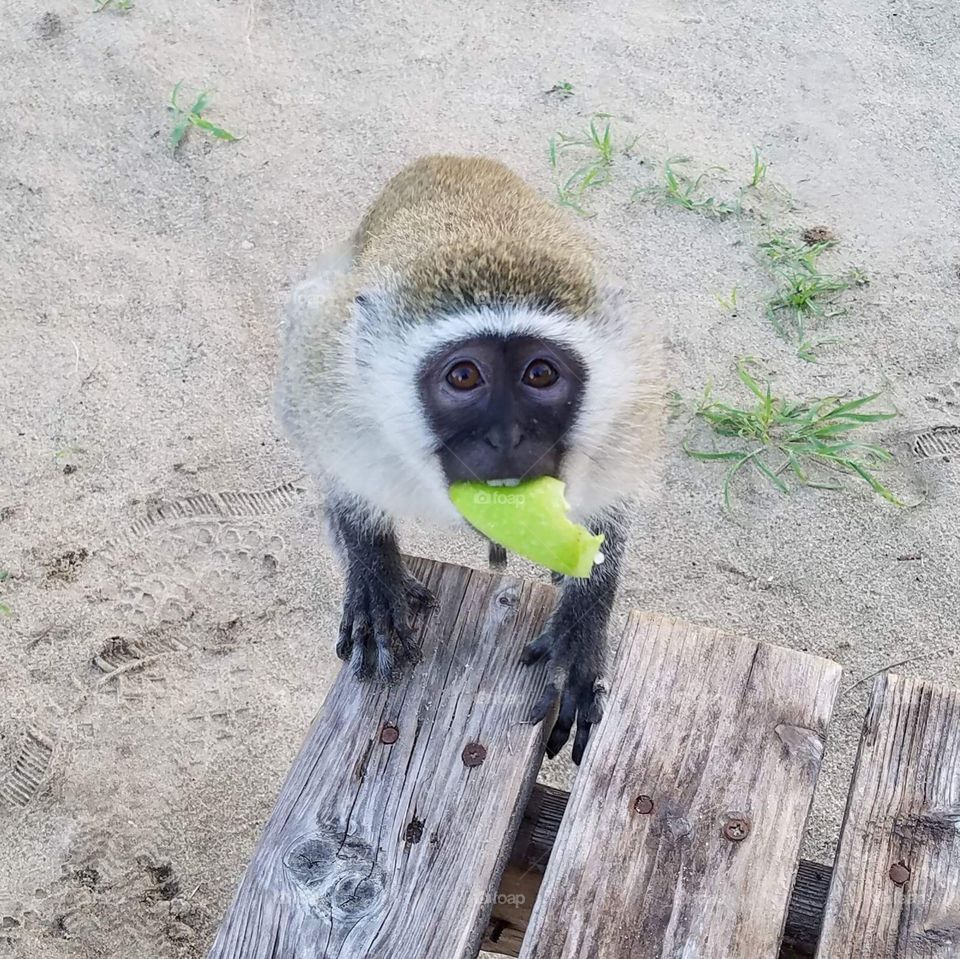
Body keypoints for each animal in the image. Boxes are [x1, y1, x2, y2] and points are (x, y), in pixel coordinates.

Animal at [274, 155, 663, 764]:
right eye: (463, 377)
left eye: (540, 374)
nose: (506, 437)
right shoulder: (325, 371)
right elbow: (341, 478)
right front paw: (372, 569)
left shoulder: (632, 400)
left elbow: (610, 513)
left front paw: (582, 626)